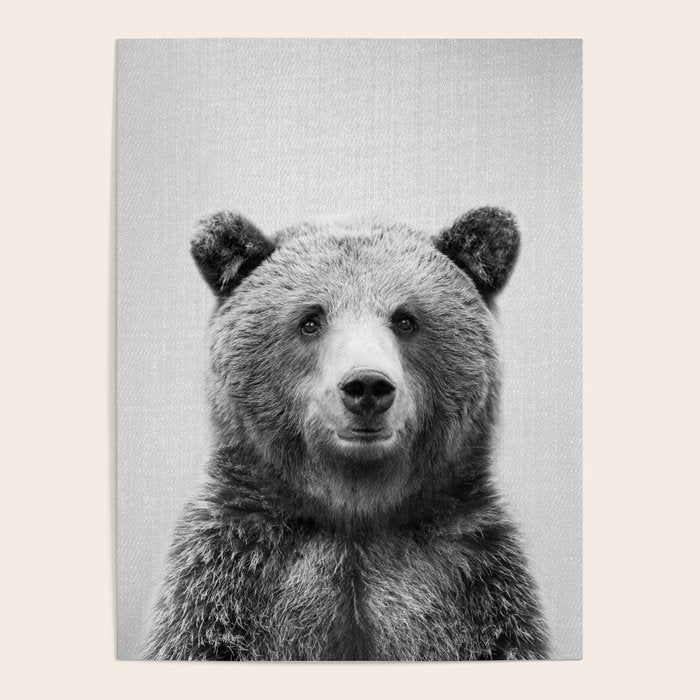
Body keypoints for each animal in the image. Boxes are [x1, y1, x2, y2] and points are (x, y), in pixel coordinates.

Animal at [145, 208, 549, 661]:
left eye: (405, 319)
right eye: (310, 320)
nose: (367, 386)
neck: (355, 512)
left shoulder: (474, 587)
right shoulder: (229, 580)